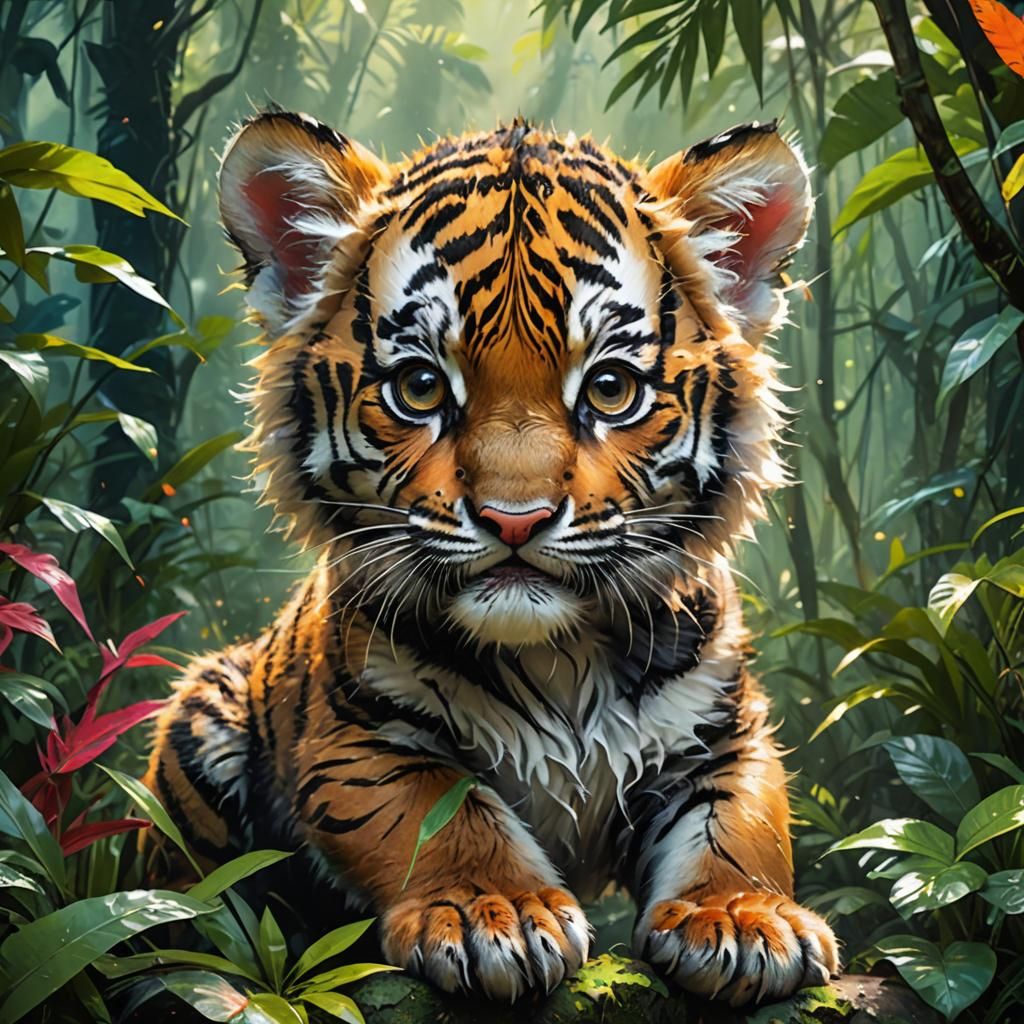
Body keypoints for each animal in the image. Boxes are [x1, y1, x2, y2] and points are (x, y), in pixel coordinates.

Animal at [144, 110, 839, 1006]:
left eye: (610, 389)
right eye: (420, 388)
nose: (516, 520)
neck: (558, 657)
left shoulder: (720, 731)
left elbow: (741, 823)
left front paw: (743, 920)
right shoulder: (361, 735)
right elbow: (441, 810)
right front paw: (493, 914)